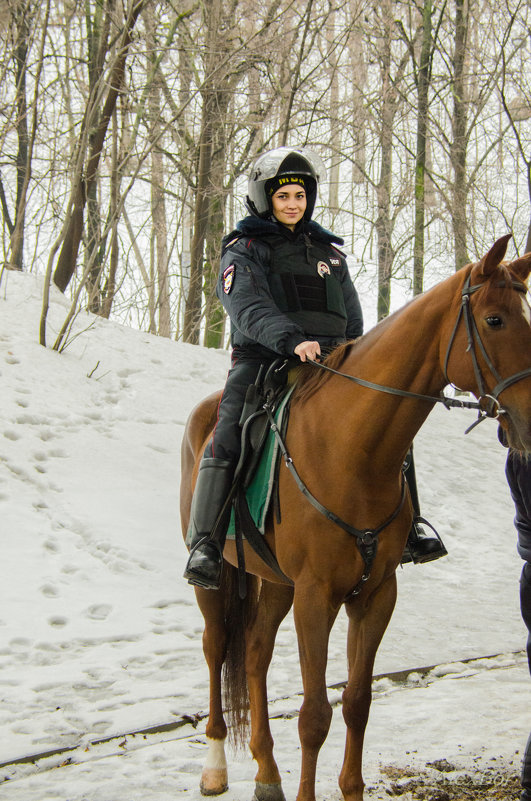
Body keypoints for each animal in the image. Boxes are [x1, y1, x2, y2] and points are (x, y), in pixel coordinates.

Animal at [181, 236, 531, 800]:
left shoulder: (375, 594)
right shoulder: (316, 596)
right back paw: (215, 766)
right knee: (216, 650)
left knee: (254, 654)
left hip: (274, 582)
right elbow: (314, 716)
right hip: (219, 579)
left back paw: (266, 773)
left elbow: (357, 704)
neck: (352, 448)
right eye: (495, 320)